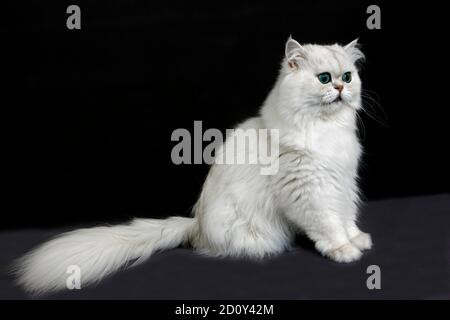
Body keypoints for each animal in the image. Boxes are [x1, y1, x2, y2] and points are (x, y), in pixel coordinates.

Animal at [13, 37, 372, 296]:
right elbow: (329, 224)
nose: (340, 87)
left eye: (347, 76)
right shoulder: (309, 191)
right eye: (324, 79)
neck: (326, 131)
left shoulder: (343, 182)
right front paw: (344, 250)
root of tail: (195, 225)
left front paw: (358, 240)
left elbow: (346, 216)